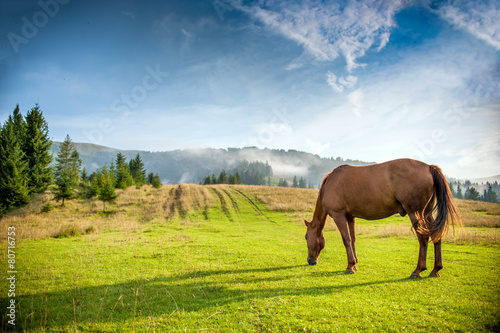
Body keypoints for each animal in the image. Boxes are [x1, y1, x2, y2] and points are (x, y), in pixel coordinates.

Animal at [302, 158, 462, 278]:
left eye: (306, 237)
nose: (310, 260)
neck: (330, 183)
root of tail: (429, 167)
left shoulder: (339, 215)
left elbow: (346, 240)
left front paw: (349, 266)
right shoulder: (350, 217)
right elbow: (353, 240)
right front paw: (355, 265)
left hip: (415, 213)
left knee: (423, 238)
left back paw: (418, 270)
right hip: (426, 213)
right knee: (435, 235)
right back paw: (435, 270)